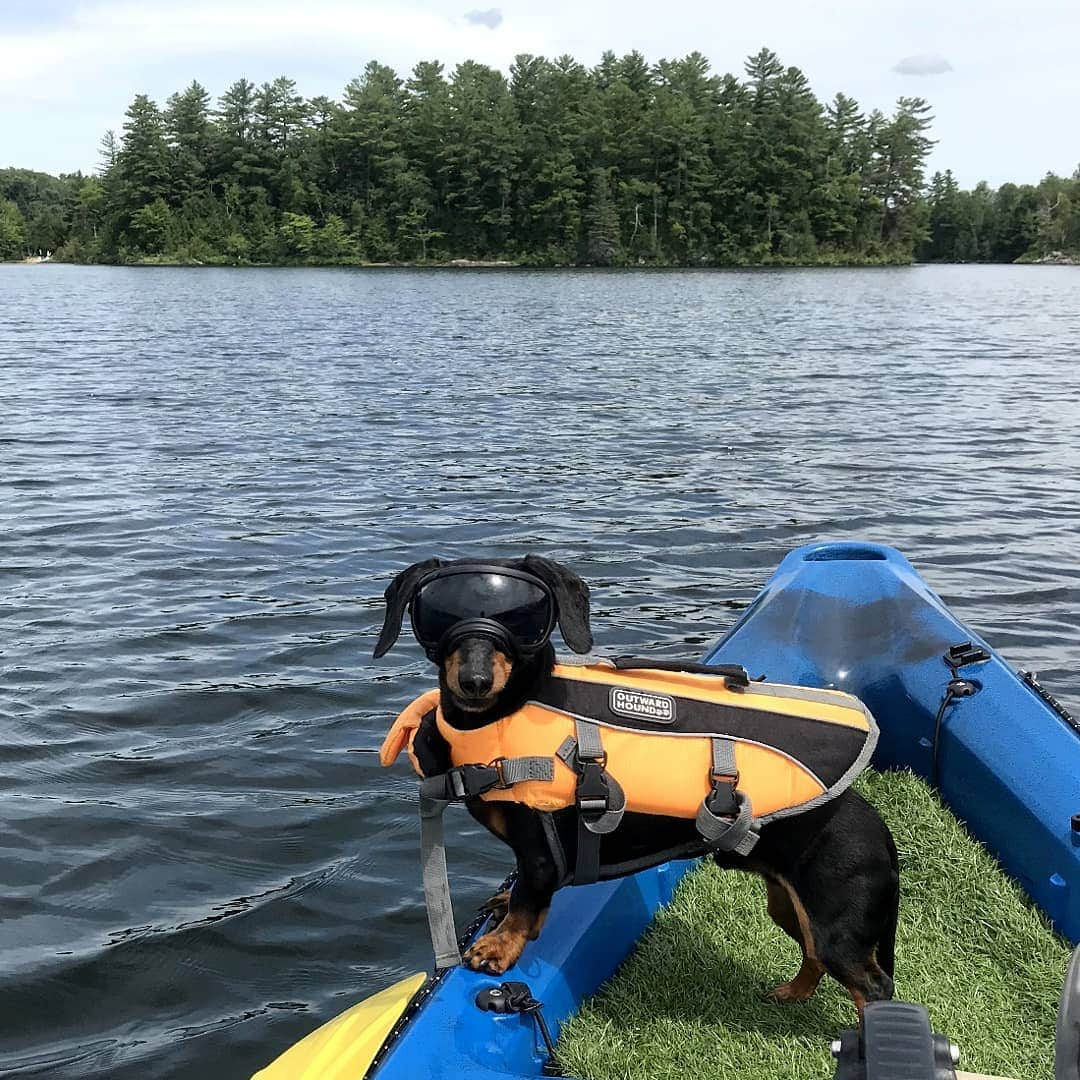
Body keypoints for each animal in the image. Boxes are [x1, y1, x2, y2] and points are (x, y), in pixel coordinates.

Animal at [375, 552, 898, 1015]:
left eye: (523, 620)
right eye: (439, 617)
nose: (475, 680)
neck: (504, 712)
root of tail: (880, 831)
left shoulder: (540, 851)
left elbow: (527, 900)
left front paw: (499, 947)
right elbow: (527, 897)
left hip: (836, 924)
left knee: (872, 986)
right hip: (790, 907)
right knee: (814, 958)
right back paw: (791, 993)